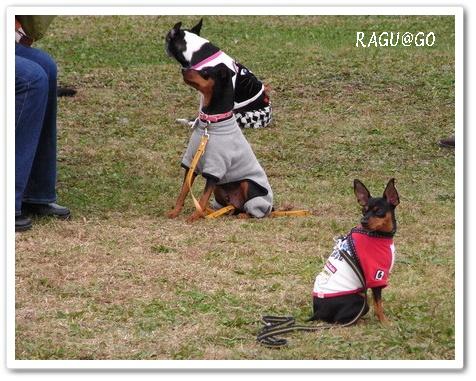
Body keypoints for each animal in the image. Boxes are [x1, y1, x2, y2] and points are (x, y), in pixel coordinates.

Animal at [310, 178, 400, 324]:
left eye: (379, 211)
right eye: (364, 210)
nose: (363, 221)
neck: (378, 235)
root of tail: (317, 312)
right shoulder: (376, 277)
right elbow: (378, 305)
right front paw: (385, 323)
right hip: (361, 301)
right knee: (339, 320)